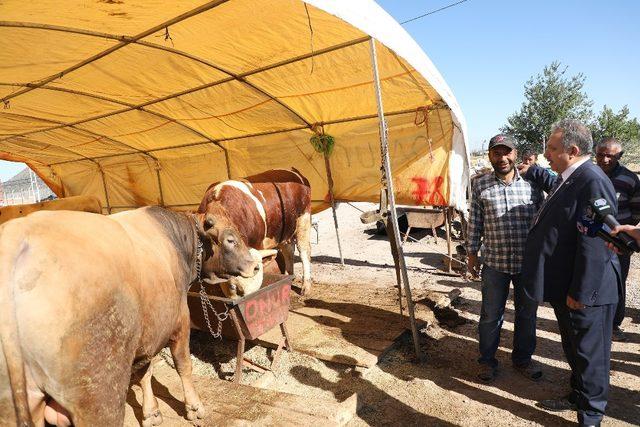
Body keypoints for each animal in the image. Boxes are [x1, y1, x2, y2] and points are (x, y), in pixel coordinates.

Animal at [1, 206, 260, 426]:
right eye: (230, 239)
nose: (255, 266)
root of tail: (18, 233)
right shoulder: (180, 320)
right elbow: (183, 365)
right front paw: (194, 409)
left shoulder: (144, 338)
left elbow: (144, 373)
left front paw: (151, 413)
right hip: (100, 395)